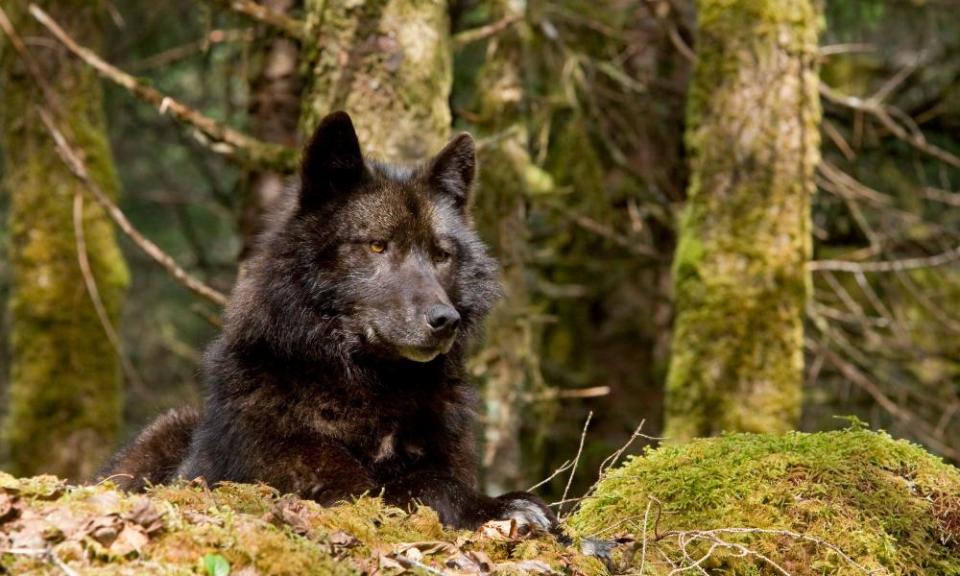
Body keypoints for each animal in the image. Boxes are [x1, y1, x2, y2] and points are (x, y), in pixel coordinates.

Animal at [104, 111, 556, 532]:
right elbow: (411, 488)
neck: (370, 390)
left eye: (441, 255)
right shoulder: (320, 484)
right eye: (377, 246)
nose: (446, 319)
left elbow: (435, 478)